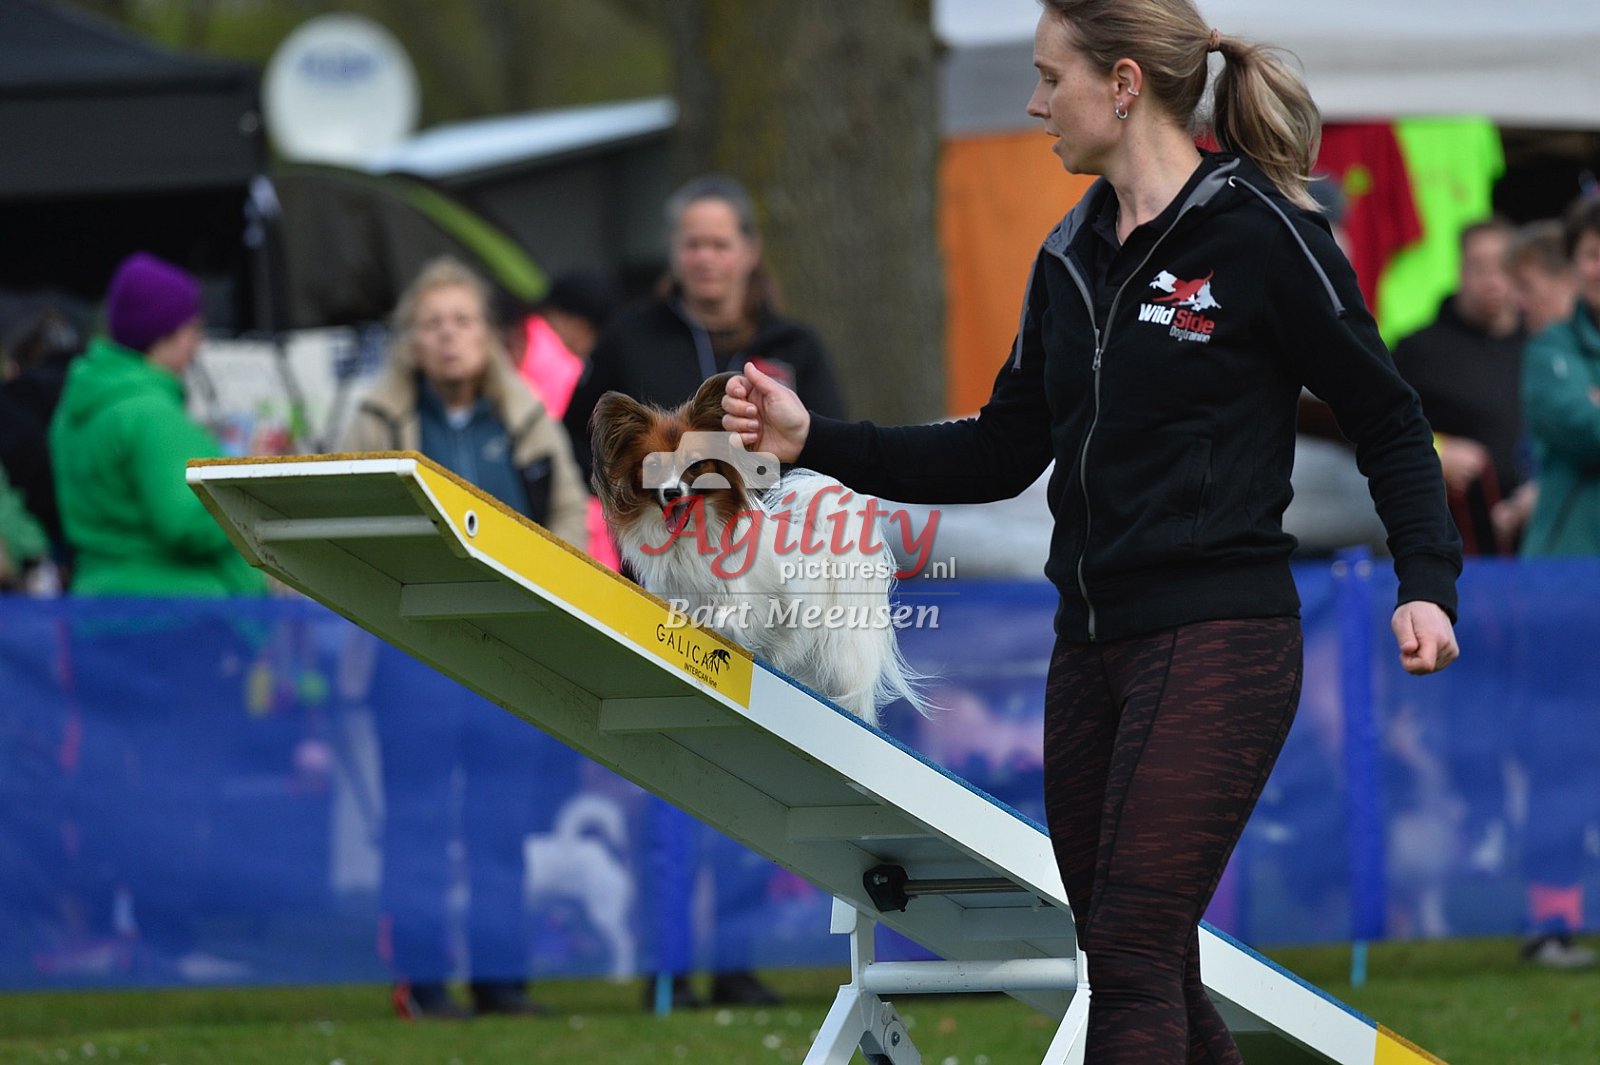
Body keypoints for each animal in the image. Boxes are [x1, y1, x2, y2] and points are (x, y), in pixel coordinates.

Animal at [589, 373, 926, 726]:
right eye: (652, 465)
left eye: (694, 466)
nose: (671, 493)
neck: (690, 536)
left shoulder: (745, 601)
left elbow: (728, 617)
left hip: (841, 662)